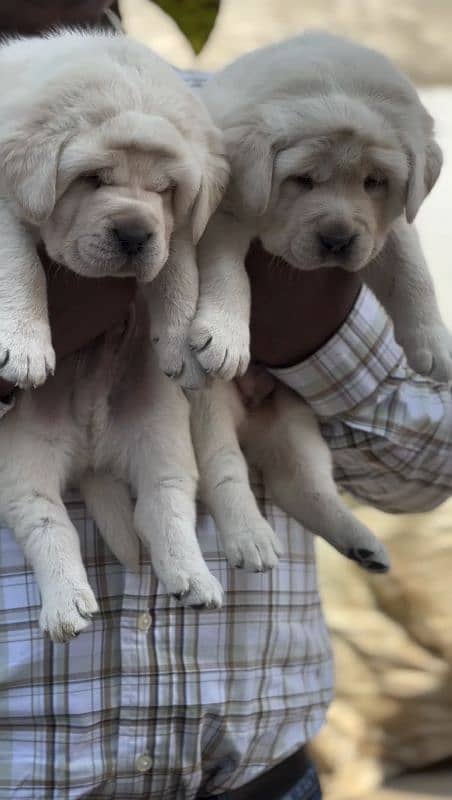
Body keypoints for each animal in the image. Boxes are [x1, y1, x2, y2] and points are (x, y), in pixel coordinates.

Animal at [0, 32, 228, 644]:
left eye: (166, 189)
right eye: (92, 179)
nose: (133, 232)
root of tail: (91, 452)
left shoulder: (179, 231)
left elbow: (179, 273)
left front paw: (183, 345)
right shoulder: (1, 206)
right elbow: (17, 265)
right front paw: (25, 347)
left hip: (159, 430)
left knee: (163, 502)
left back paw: (194, 577)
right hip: (23, 456)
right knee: (45, 520)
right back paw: (67, 607)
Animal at [186, 34, 448, 580]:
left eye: (374, 181)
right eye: (302, 180)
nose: (337, 239)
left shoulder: (388, 227)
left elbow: (413, 273)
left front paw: (434, 344)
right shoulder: (225, 215)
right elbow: (228, 275)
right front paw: (225, 336)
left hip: (294, 421)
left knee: (302, 485)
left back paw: (362, 545)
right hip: (206, 408)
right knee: (224, 473)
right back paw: (250, 538)